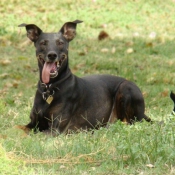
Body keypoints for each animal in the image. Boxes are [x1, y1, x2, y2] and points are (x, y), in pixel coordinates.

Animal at [17, 19, 152, 135]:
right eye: (43, 43)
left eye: (60, 43)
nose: (52, 55)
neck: (50, 88)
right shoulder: (33, 123)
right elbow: (17, 128)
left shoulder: (55, 129)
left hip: (126, 88)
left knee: (128, 123)